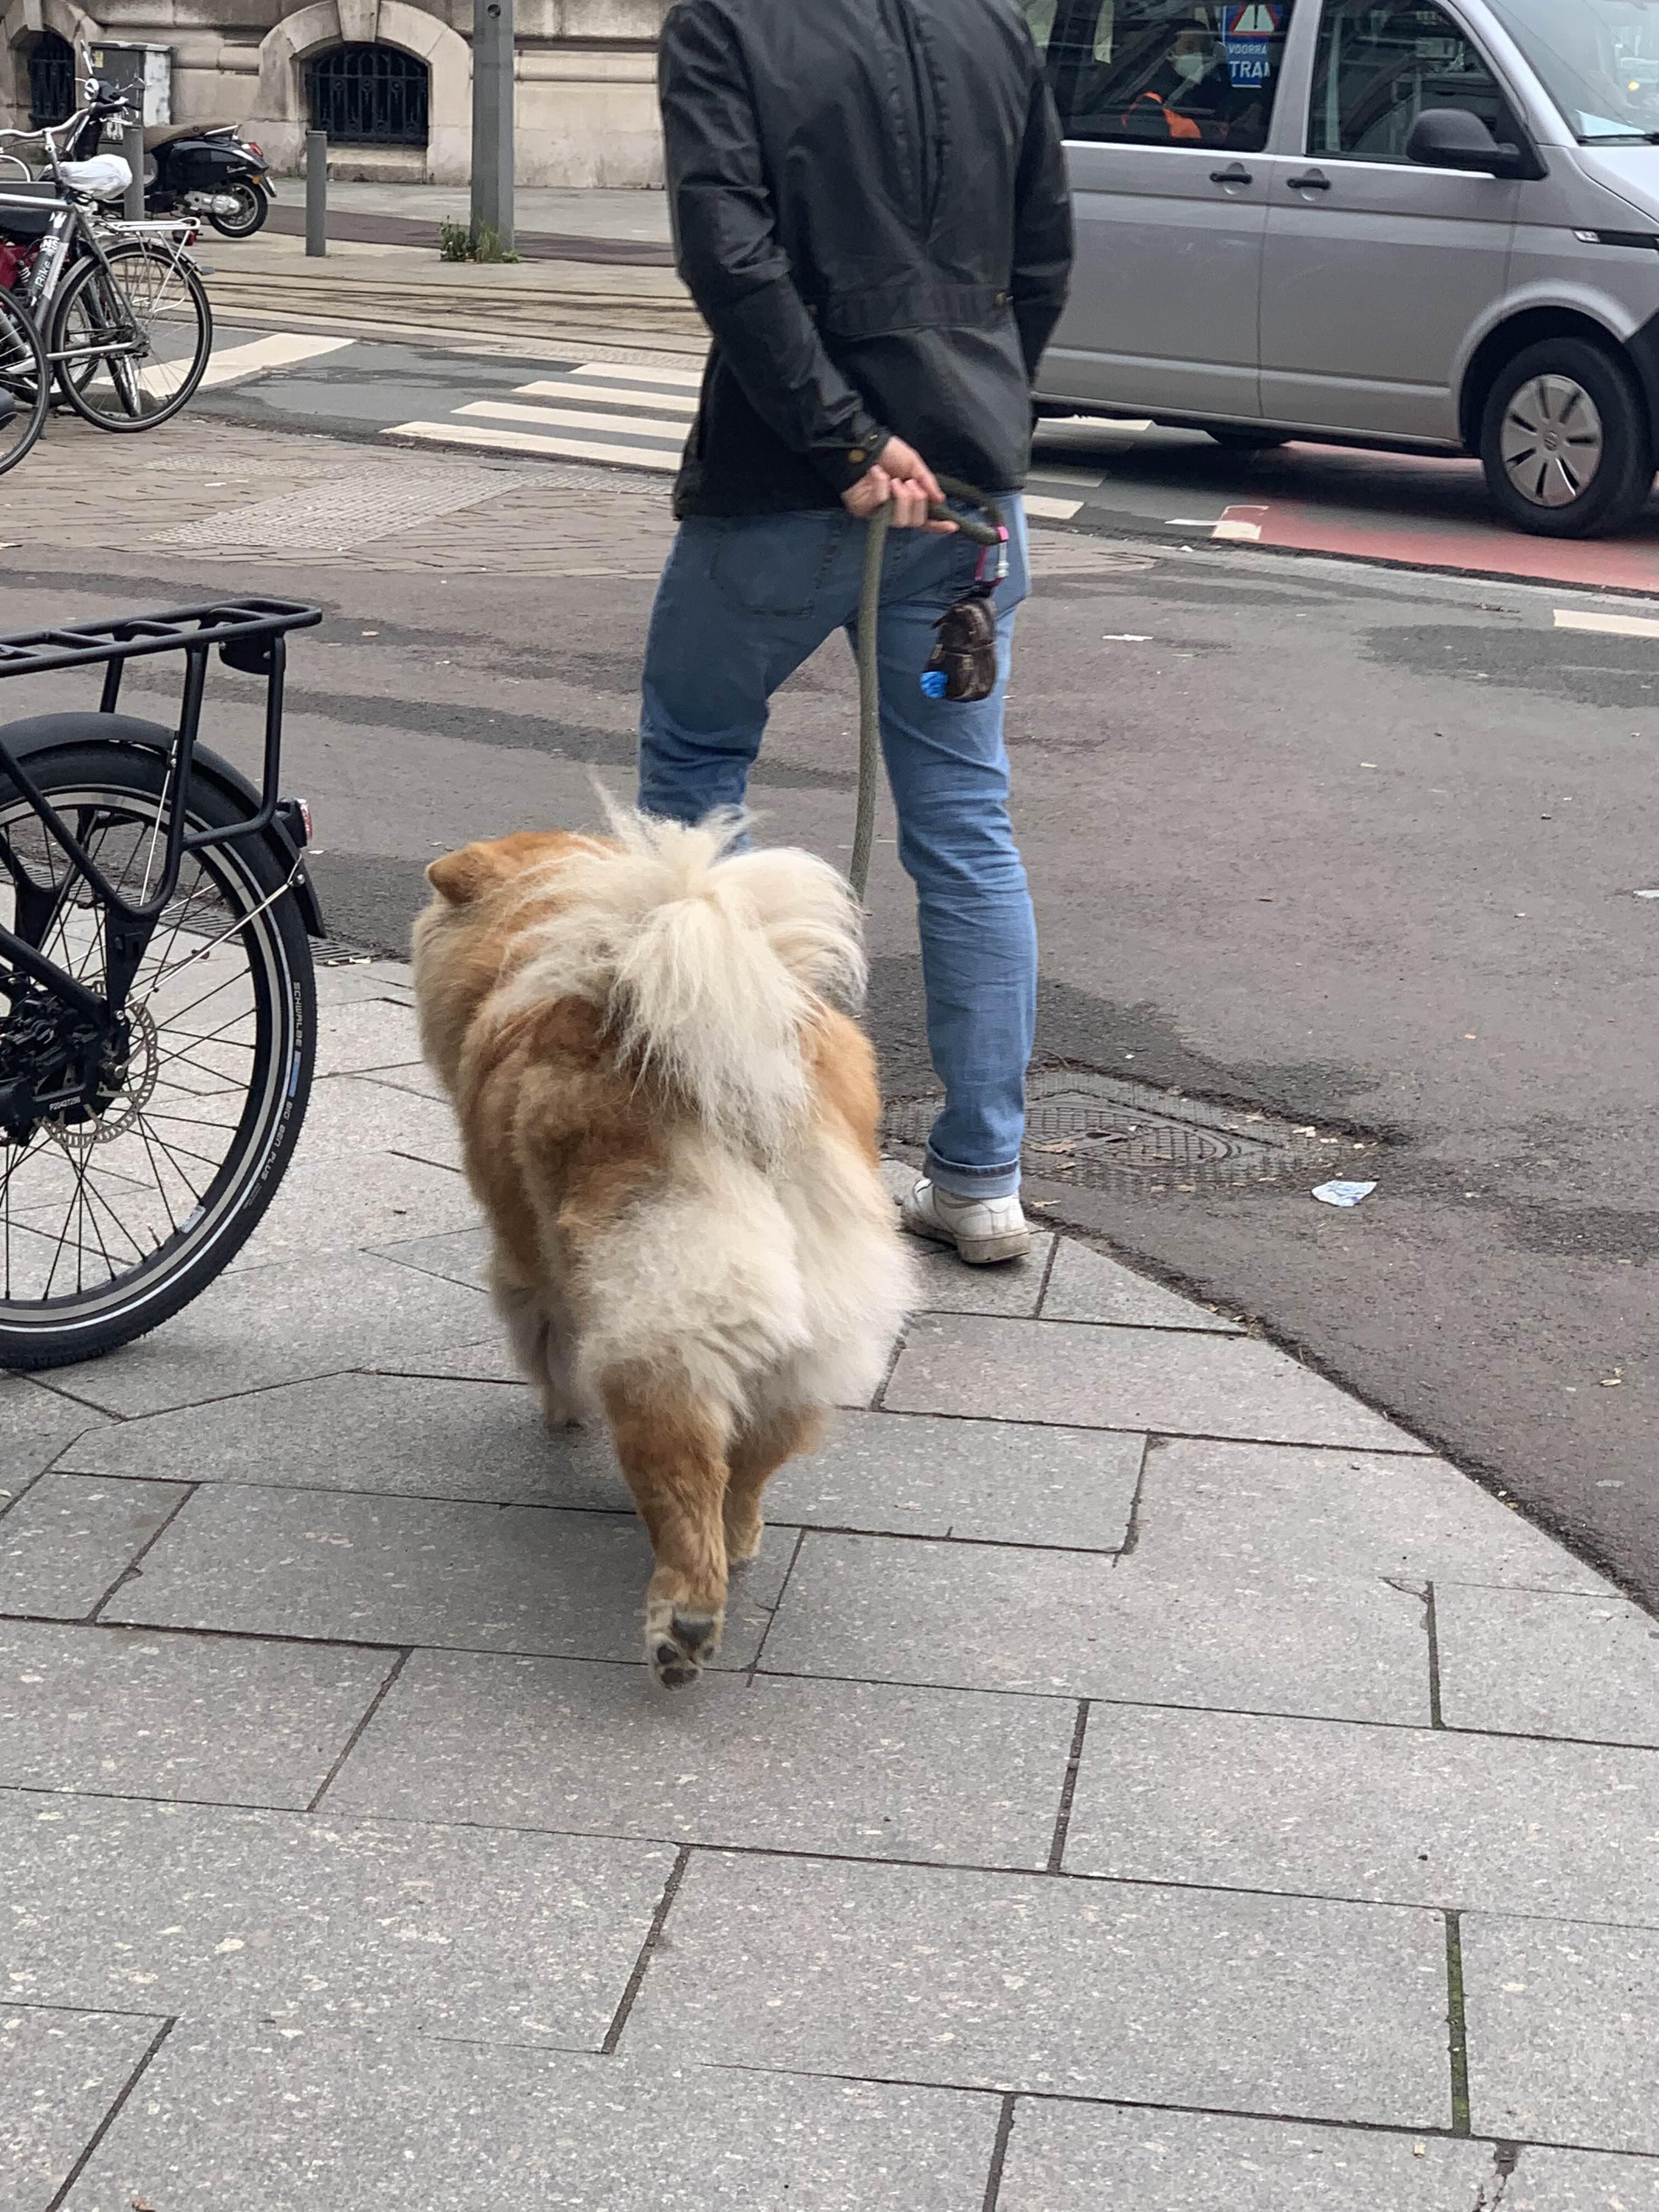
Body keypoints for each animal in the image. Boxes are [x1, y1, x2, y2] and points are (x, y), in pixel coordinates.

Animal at [412, 804, 914, 1689]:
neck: (528, 939)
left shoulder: (524, 1260)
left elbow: (541, 1342)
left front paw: (559, 1414)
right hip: (813, 1323)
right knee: (750, 1463)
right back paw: (740, 1544)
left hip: (662, 1315)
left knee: (683, 1472)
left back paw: (683, 1620)